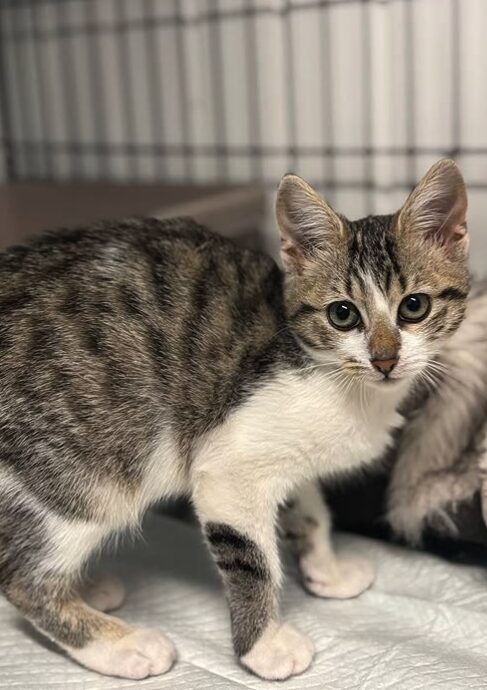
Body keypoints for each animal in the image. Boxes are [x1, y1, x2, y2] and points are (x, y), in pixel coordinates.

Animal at [0, 157, 468, 676]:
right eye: (343, 314)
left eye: (414, 306)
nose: (385, 360)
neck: (344, 386)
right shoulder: (227, 466)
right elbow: (253, 561)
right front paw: (263, 646)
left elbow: (312, 506)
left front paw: (326, 568)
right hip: (81, 474)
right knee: (20, 577)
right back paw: (121, 645)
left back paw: (89, 589)